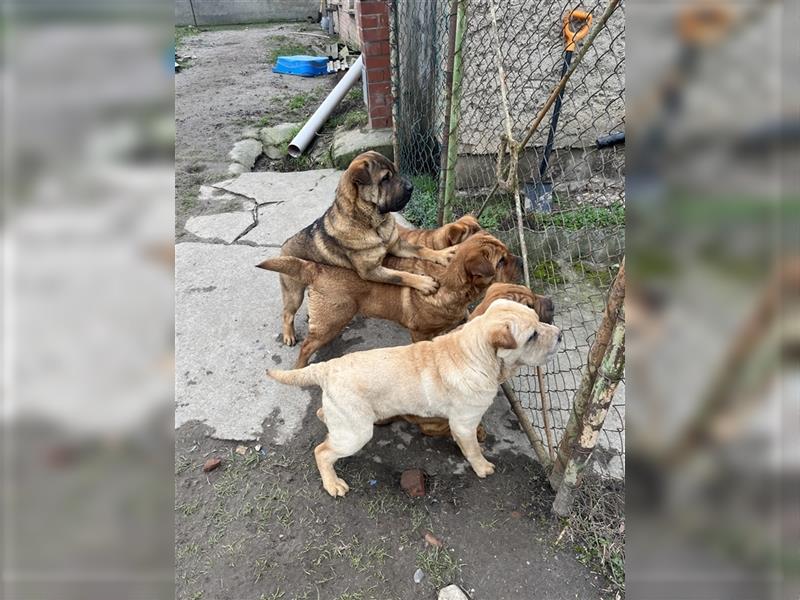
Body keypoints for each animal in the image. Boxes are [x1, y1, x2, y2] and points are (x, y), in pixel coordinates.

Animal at [256, 231, 520, 368]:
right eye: (501, 261)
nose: (519, 259)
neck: (450, 280)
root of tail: (317, 268)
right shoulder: (419, 333)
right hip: (327, 319)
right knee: (301, 337)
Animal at [268, 300, 564, 496]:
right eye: (532, 335)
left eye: (538, 319)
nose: (561, 335)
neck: (476, 354)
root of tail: (326, 367)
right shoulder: (463, 424)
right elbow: (472, 449)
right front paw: (482, 467)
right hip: (356, 432)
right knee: (322, 451)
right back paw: (333, 484)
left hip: (347, 420)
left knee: (324, 417)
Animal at [274, 150, 454, 344]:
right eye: (385, 178)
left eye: (395, 171)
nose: (411, 187)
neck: (371, 222)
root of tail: (283, 247)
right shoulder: (371, 271)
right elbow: (400, 275)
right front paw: (424, 282)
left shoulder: (397, 246)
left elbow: (421, 249)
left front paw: (442, 255)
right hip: (293, 292)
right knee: (287, 313)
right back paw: (288, 335)